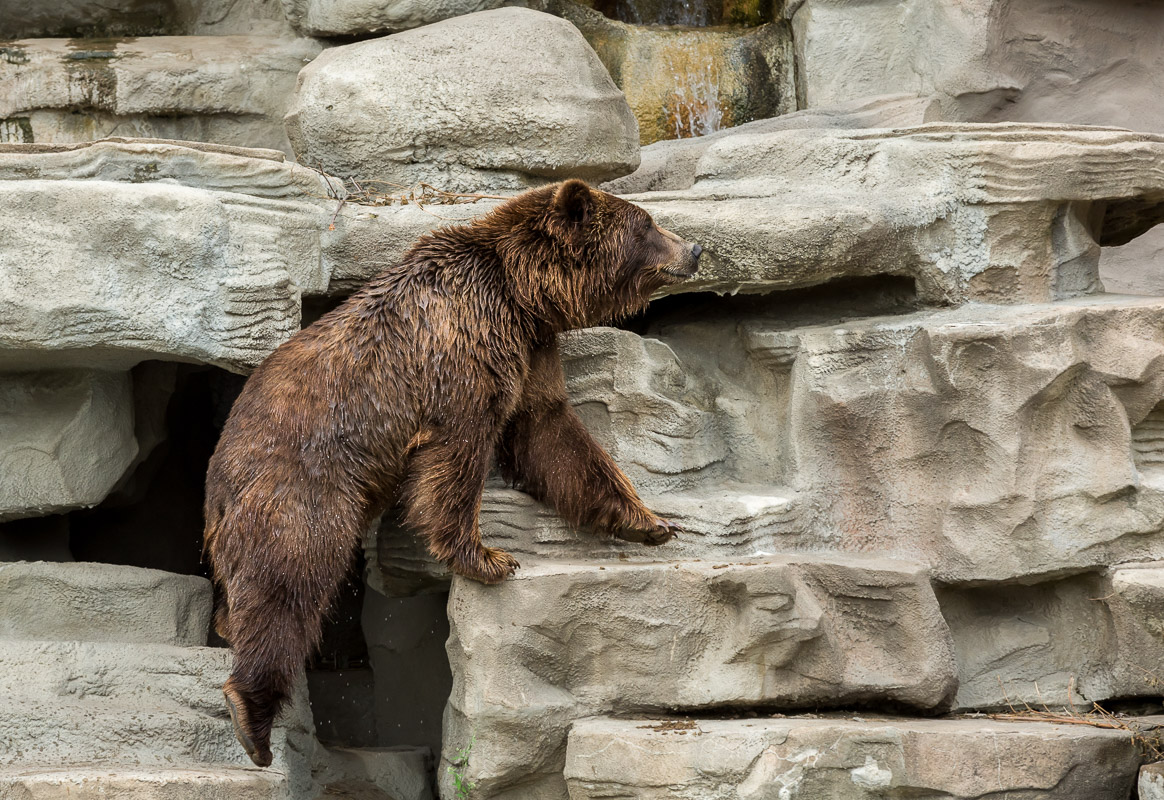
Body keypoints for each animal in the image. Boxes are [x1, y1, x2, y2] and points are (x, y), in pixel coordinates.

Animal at [202, 177, 698, 768]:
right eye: (647, 224)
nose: (694, 249)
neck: (520, 296)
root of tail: (217, 474)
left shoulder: (532, 349)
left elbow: (551, 432)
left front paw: (649, 521)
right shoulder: (462, 351)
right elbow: (459, 456)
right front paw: (488, 557)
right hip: (301, 487)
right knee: (288, 579)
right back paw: (251, 718)